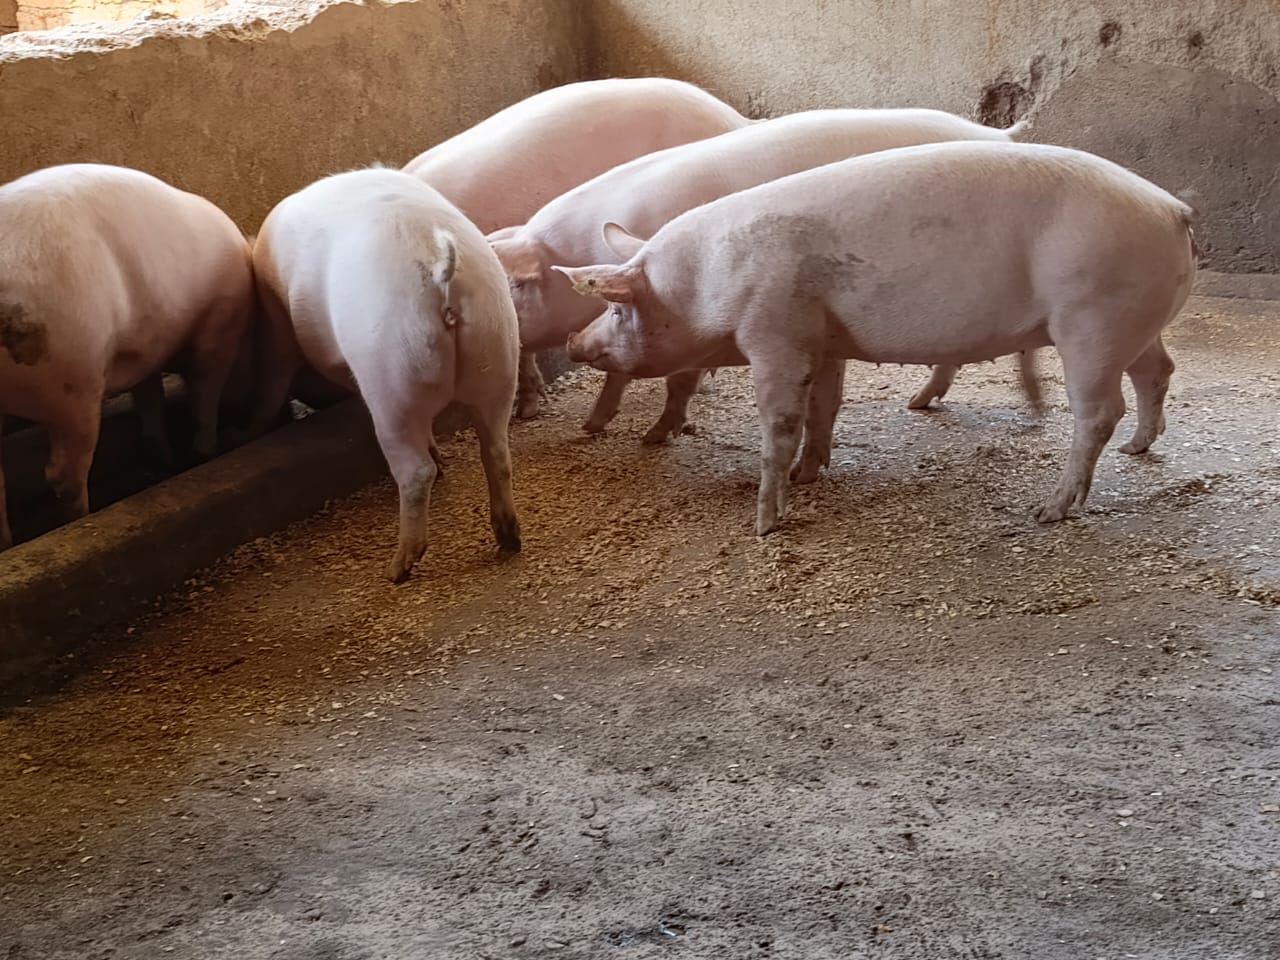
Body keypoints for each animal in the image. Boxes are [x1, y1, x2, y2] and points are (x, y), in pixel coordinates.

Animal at [0, 163, 254, 550]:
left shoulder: (144, 351)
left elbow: (149, 398)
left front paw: (161, 456)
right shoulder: (220, 327)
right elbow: (204, 394)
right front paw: (205, 453)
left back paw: (6, 542)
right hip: (74, 378)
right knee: (64, 473)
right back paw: (79, 519)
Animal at [248, 168, 521, 582]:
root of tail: (438, 268)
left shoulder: (277, 321)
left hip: (392, 376)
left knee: (416, 470)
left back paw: (397, 570)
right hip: (498, 350)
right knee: (496, 450)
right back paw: (509, 538)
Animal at [489, 107, 1030, 441]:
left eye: (517, 286)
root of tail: (999, 135)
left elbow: (671, 379)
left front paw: (653, 436)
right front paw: (592, 426)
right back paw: (920, 403)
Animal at [556, 141, 1197, 534]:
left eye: (617, 309)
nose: (573, 345)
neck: (705, 284)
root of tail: (1172, 208)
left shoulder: (775, 330)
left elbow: (780, 424)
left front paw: (765, 522)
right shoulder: (823, 338)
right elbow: (825, 406)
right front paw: (810, 474)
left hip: (1092, 319)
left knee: (1100, 410)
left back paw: (1049, 510)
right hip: (1134, 321)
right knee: (1157, 371)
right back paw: (1138, 448)